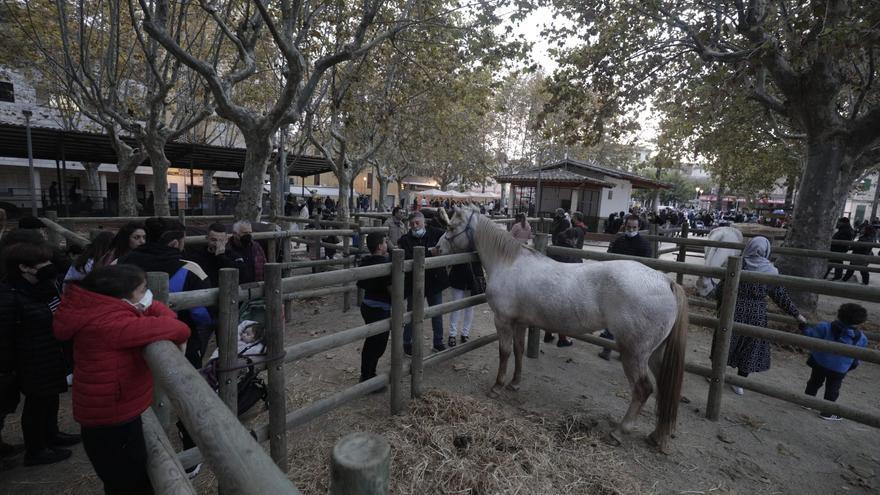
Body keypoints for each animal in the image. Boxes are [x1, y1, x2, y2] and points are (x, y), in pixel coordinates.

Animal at [436, 207, 692, 452]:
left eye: (451, 226)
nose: (435, 248)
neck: (510, 263)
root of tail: (665, 281)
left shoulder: (503, 321)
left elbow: (505, 353)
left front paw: (497, 386)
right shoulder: (520, 322)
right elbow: (519, 351)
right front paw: (515, 383)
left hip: (634, 354)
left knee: (643, 389)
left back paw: (620, 431)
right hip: (656, 354)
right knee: (663, 389)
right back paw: (657, 436)